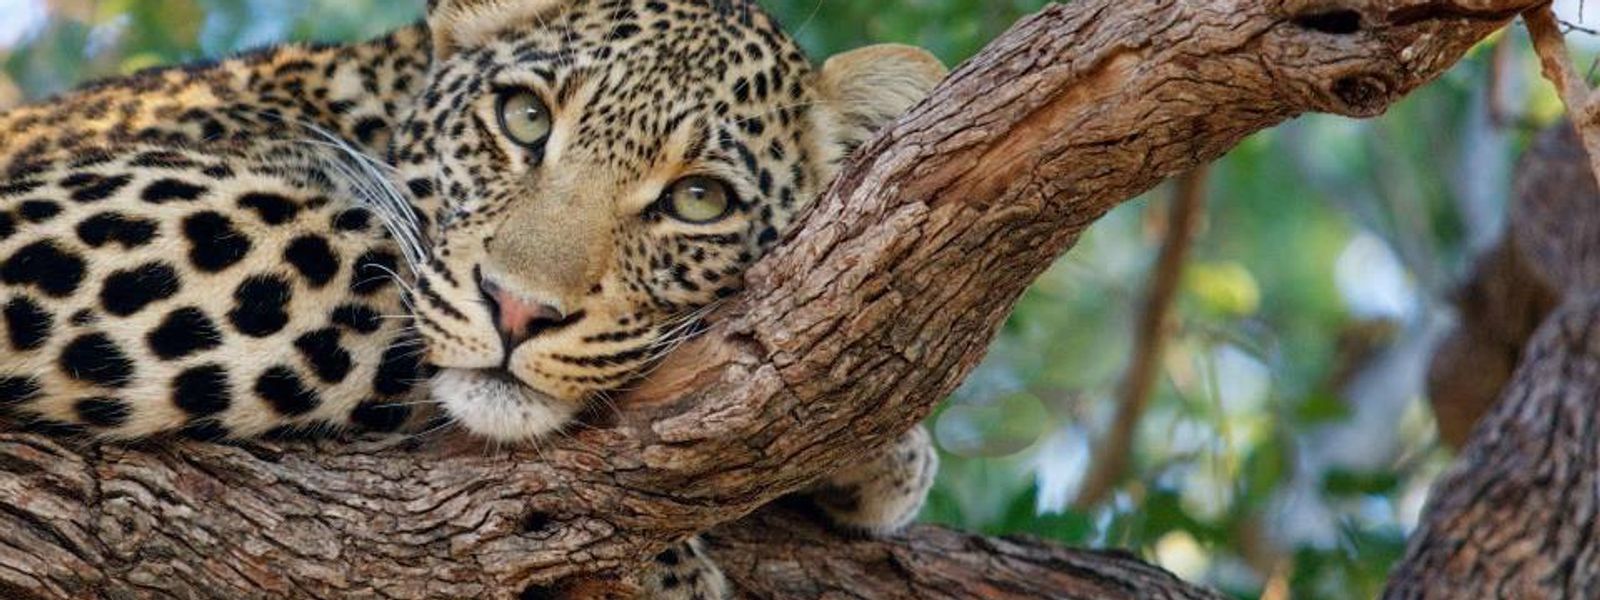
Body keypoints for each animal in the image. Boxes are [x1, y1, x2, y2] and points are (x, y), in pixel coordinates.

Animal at [0, 0, 946, 596]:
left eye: (699, 200)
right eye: (524, 118)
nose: (519, 311)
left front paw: (877, 447)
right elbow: (385, 269)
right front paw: (663, 568)